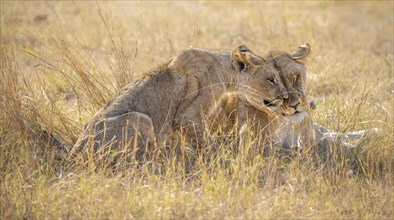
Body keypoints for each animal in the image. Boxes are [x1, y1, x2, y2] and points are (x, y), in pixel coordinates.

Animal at [70, 44, 286, 162]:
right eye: (271, 79)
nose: (284, 97)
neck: (225, 72)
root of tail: (74, 153)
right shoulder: (186, 116)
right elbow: (207, 144)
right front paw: (223, 162)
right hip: (141, 118)